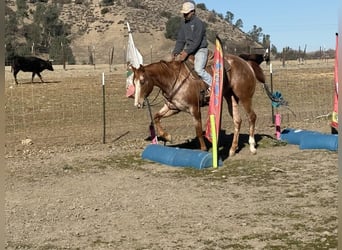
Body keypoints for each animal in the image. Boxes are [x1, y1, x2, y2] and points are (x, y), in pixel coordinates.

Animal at [131, 50, 270, 156]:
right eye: (133, 81)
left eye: (142, 81)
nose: (137, 104)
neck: (173, 78)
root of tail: (246, 63)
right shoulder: (174, 108)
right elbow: (156, 117)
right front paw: (167, 136)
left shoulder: (194, 108)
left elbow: (198, 130)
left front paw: (203, 149)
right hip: (230, 97)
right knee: (237, 120)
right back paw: (232, 149)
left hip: (245, 96)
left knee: (251, 117)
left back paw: (252, 147)